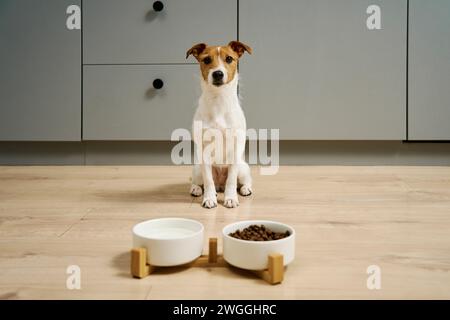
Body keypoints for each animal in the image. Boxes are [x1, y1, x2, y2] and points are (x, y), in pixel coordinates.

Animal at [186, 40, 253, 210]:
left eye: (229, 58)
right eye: (206, 60)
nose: (218, 74)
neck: (218, 100)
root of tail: (220, 185)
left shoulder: (236, 148)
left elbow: (231, 180)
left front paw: (231, 198)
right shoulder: (203, 151)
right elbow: (208, 180)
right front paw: (209, 199)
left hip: (243, 168)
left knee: (243, 181)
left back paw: (245, 189)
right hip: (197, 168)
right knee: (200, 182)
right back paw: (198, 190)